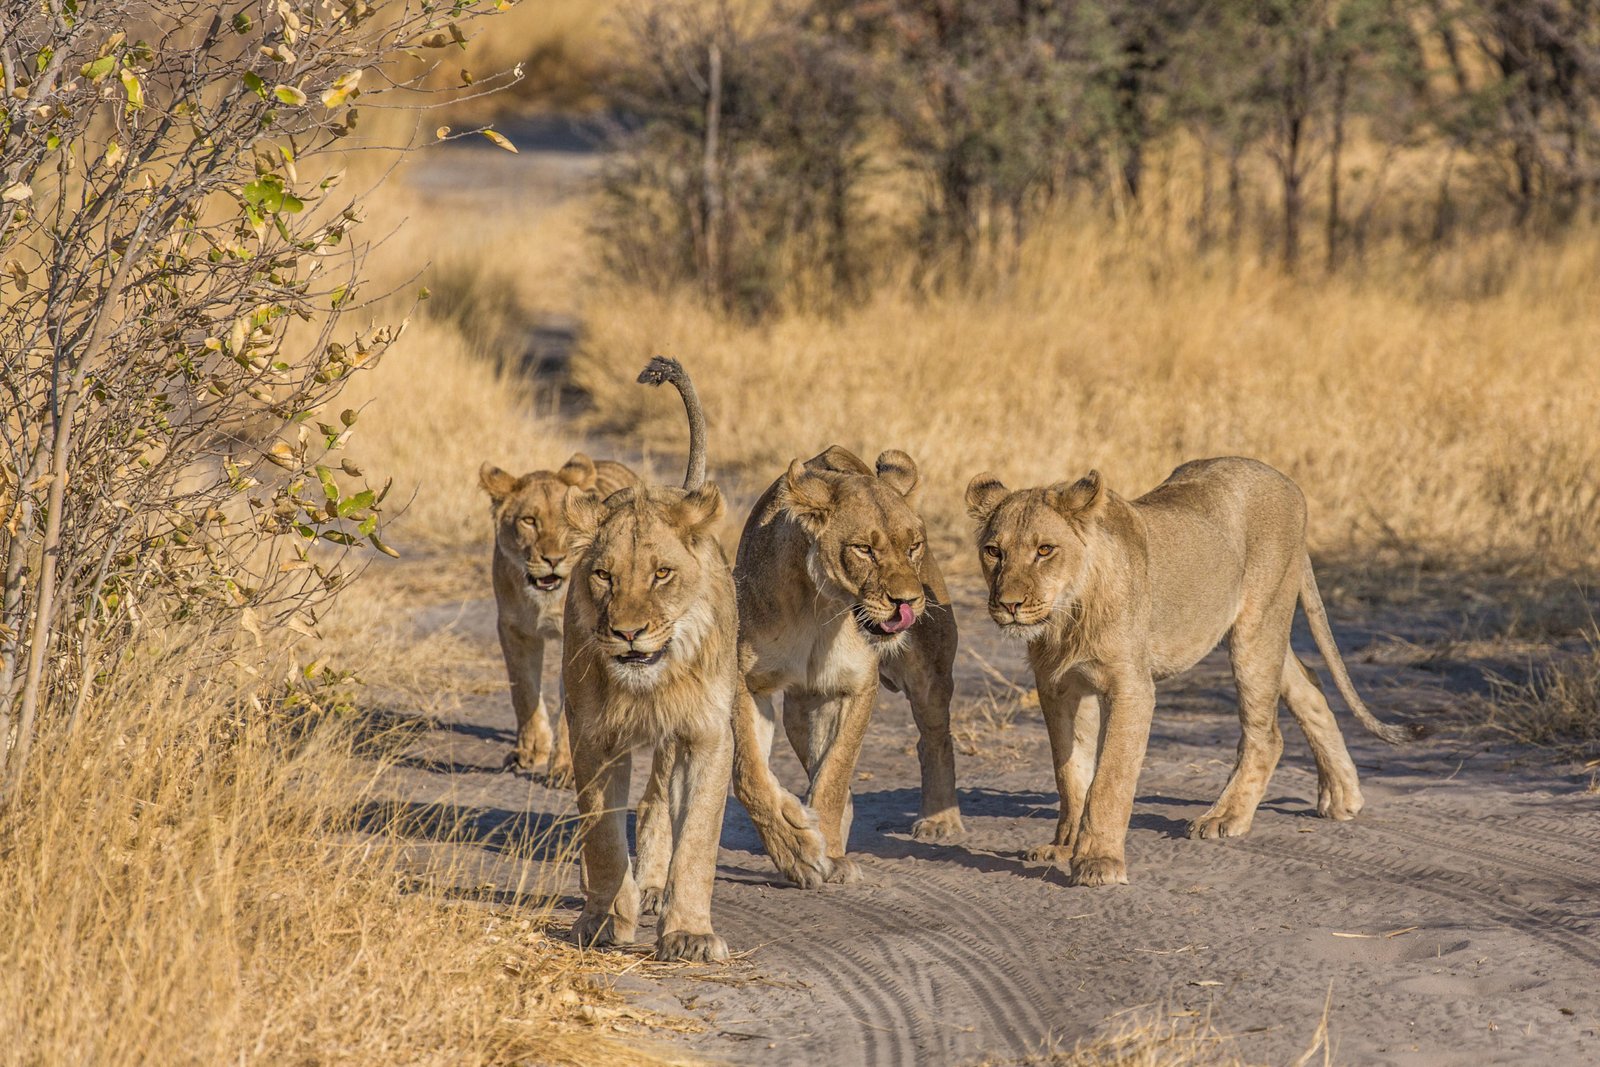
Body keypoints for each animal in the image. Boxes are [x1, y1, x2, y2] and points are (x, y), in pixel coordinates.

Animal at [479, 453, 639, 782]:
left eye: (567, 523)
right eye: (529, 520)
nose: (553, 560)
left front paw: (565, 767)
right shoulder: (513, 628)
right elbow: (523, 690)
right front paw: (529, 752)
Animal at [562, 356, 735, 962]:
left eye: (662, 573)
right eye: (604, 575)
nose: (628, 633)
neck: (649, 683)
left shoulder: (709, 734)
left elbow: (699, 838)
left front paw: (689, 933)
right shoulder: (591, 735)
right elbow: (602, 835)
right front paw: (604, 918)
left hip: (675, 740)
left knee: (660, 800)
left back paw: (658, 888)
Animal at [731, 445, 965, 888]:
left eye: (914, 546)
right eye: (863, 549)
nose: (908, 601)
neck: (820, 608)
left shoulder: (855, 686)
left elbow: (835, 774)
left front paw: (828, 854)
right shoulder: (747, 682)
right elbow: (750, 776)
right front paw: (797, 850)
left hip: (929, 674)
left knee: (934, 738)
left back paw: (939, 821)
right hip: (801, 708)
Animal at [964, 456, 1424, 888]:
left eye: (1045, 550)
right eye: (994, 551)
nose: (1008, 604)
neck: (1065, 617)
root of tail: (1284, 479)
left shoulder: (1131, 688)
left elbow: (1110, 778)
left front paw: (1099, 861)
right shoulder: (1059, 687)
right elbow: (1071, 774)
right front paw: (1062, 847)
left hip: (1255, 629)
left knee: (1266, 734)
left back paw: (1225, 818)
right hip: (1260, 631)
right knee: (1309, 684)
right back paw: (1342, 795)